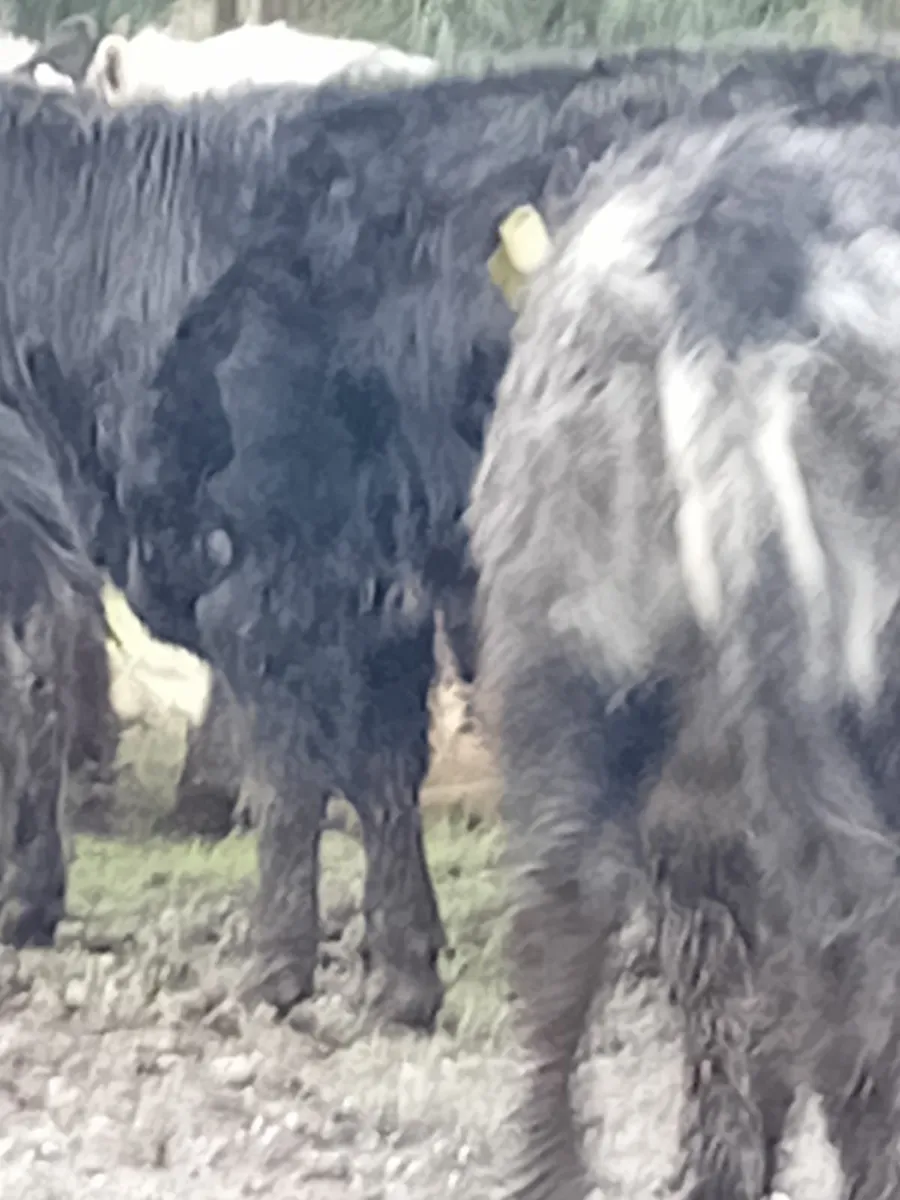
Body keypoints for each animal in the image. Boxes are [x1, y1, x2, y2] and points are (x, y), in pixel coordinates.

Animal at [4, 44, 900, 1028]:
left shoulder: (275, 569)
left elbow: (289, 772)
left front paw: (274, 966)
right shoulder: (373, 585)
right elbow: (381, 770)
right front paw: (403, 970)